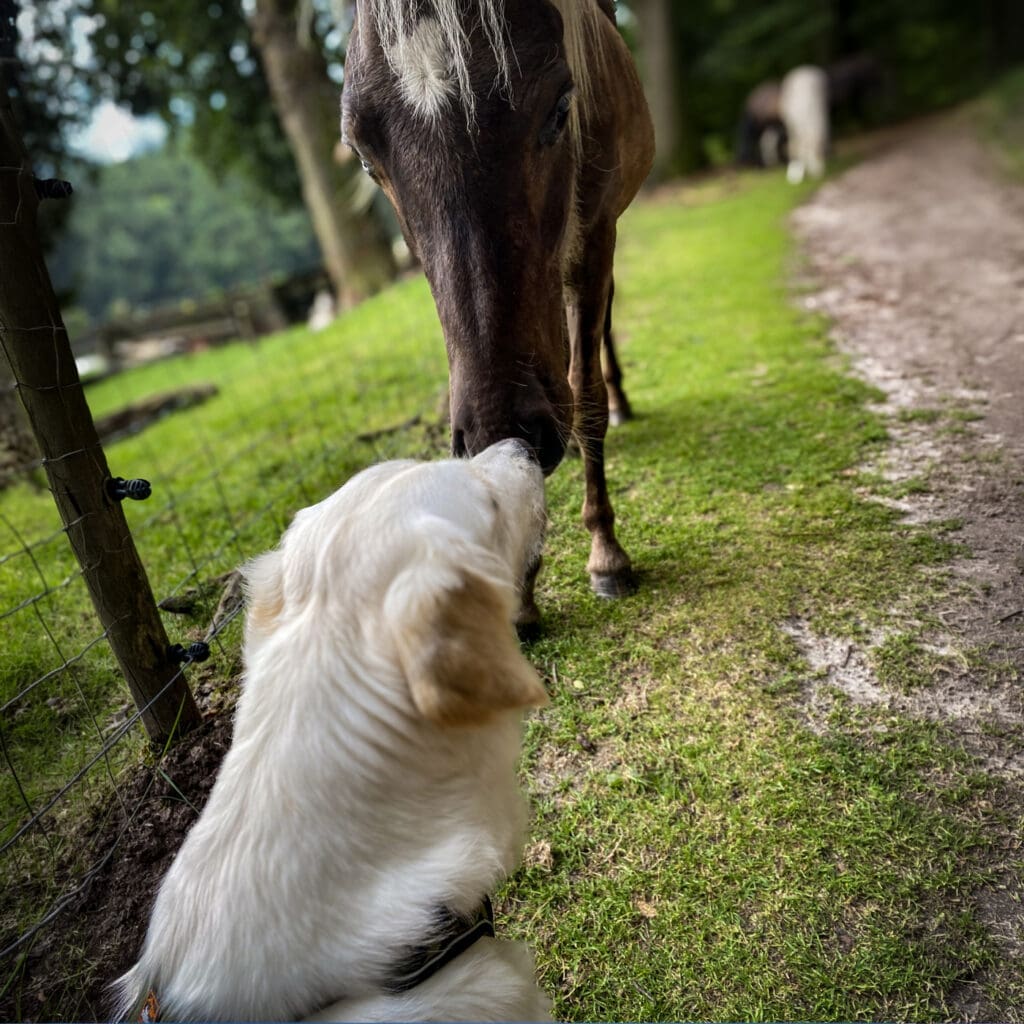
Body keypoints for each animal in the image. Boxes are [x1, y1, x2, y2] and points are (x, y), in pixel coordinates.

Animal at [341, 0, 654, 617]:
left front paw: (606, 552)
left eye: (561, 106)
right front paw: (520, 587)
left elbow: (586, 394)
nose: (501, 430)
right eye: (364, 157)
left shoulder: (595, 239)